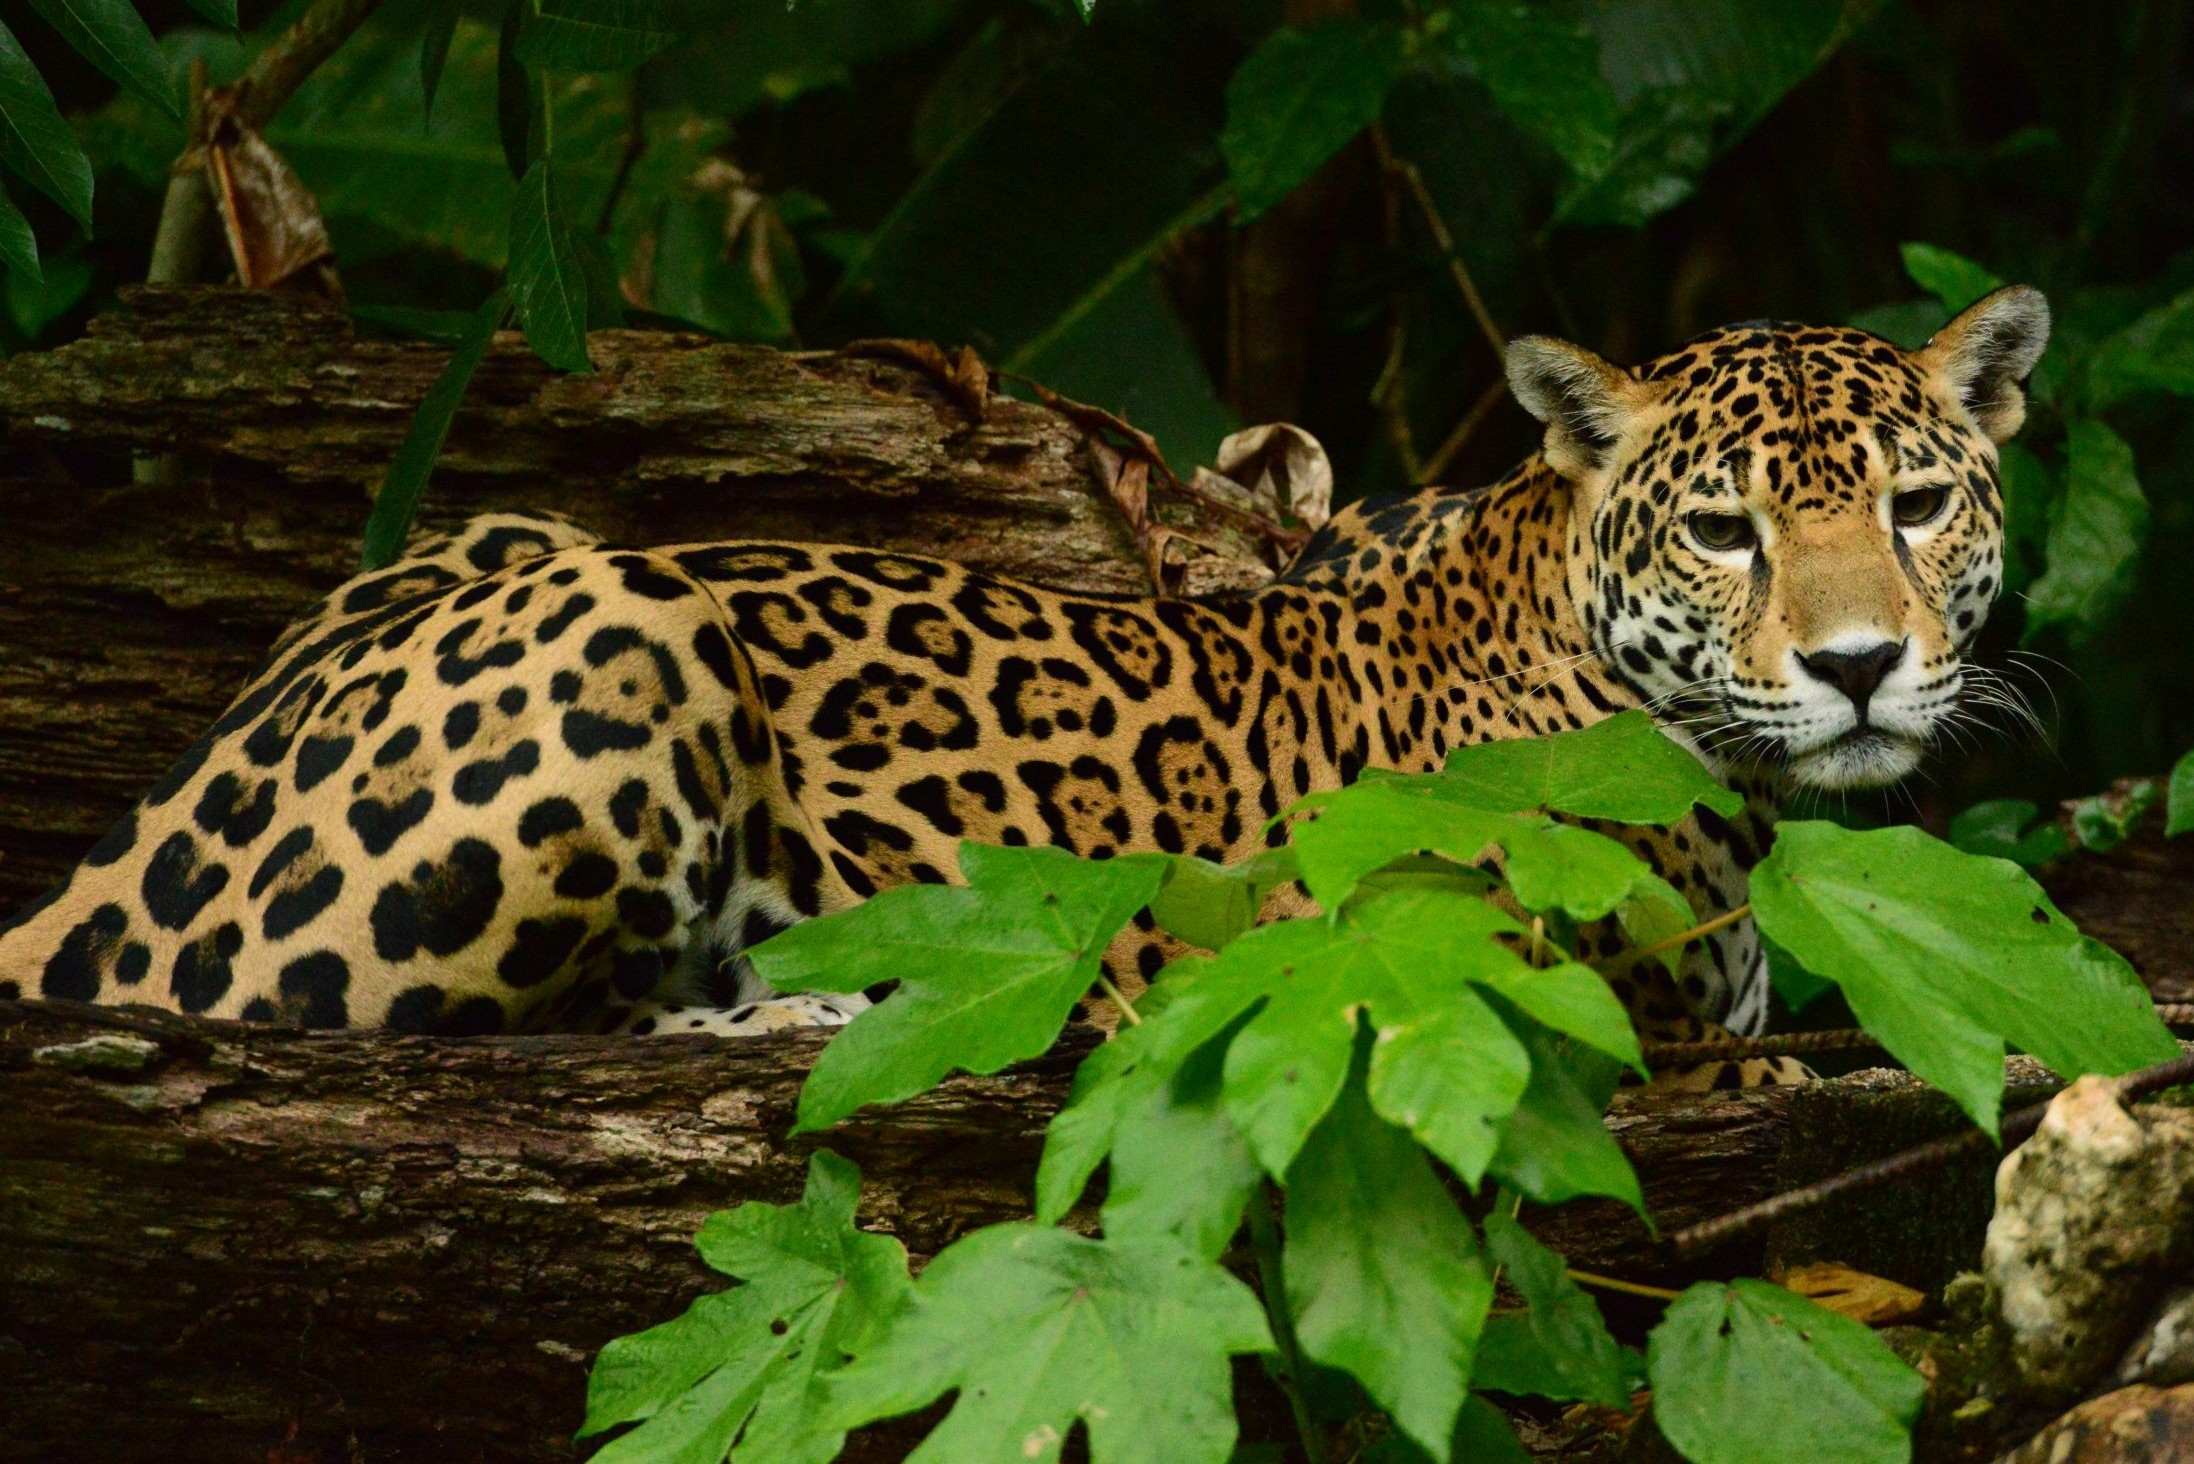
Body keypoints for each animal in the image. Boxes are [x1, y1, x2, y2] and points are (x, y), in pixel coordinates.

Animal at [0, 286, 2049, 1092]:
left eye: (1913, 501)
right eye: (1721, 531)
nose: (1857, 665)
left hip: (513, 529)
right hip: (627, 616)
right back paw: (818, 1010)